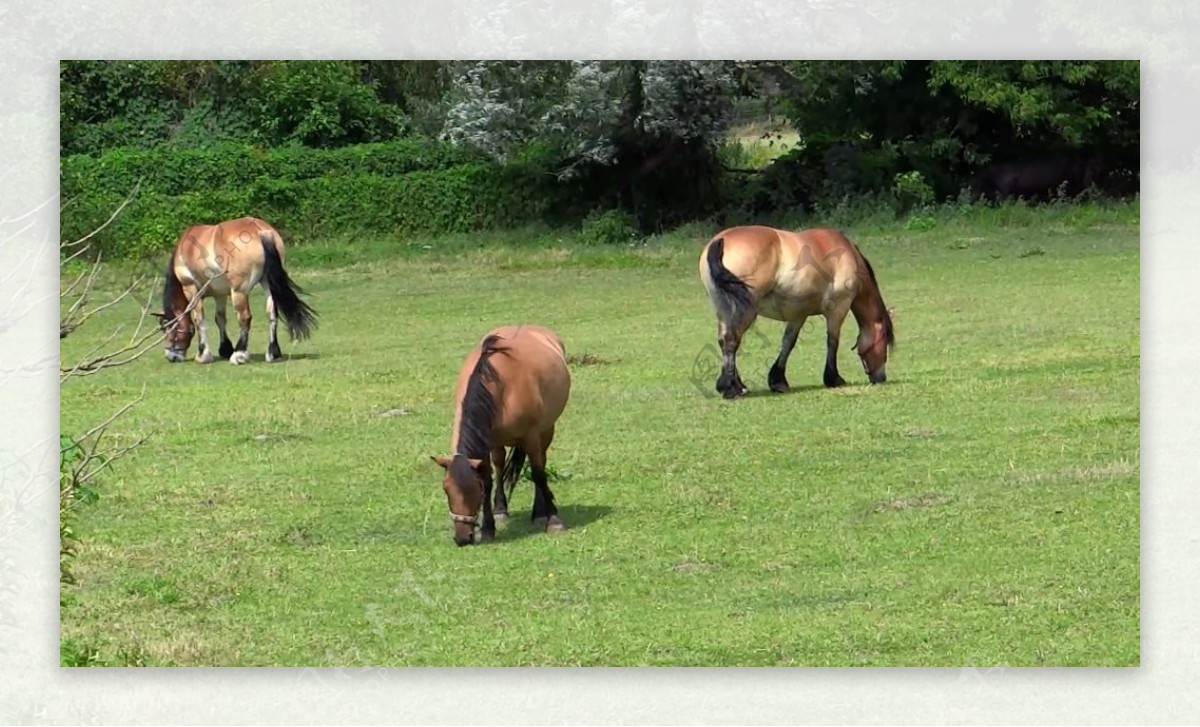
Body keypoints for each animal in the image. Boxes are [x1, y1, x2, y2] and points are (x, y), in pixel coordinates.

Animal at [159, 215, 319, 364]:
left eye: (166, 329)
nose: (170, 356)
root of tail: (261, 231)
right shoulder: (220, 295)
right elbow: (220, 319)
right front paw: (225, 349)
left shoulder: (191, 289)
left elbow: (199, 320)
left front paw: (203, 355)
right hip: (268, 284)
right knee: (272, 313)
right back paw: (272, 352)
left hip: (239, 291)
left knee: (244, 317)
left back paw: (239, 354)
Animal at [432, 326, 571, 547]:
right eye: (446, 490)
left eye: (474, 491)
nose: (462, 538)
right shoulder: (488, 444)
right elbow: (490, 478)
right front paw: (489, 528)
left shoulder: (531, 435)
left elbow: (538, 474)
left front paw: (554, 521)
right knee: (499, 467)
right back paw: (501, 509)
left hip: (547, 428)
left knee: (540, 462)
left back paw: (540, 512)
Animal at [700, 226, 897, 400]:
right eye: (884, 343)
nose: (881, 377)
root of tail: (721, 241)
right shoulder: (837, 310)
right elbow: (832, 342)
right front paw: (833, 378)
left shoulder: (798, 315)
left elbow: (788, 343)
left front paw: (778, 381)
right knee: (731, 340)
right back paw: (733, 389)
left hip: (724, 309)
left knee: (724, 341)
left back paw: (736, 385)